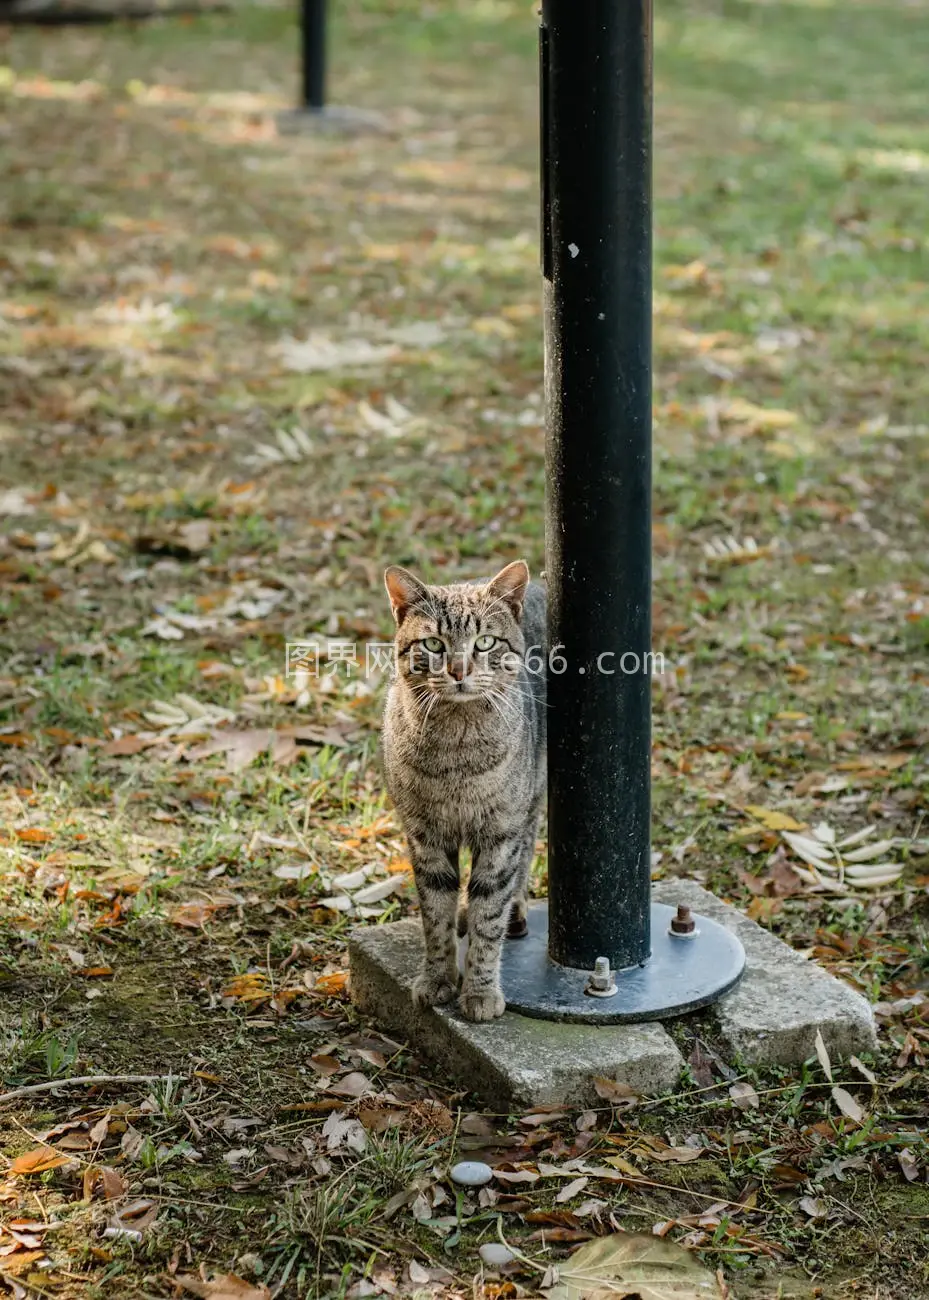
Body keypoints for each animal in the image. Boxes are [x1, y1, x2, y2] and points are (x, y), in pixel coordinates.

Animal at [384, 564, 548, 1019]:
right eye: (434, 644)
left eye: (485, 642)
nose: (459, 671)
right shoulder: (425, 837)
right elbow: (435, 915)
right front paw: (439, 978)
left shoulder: (501, 833)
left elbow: (488, 915)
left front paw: (479, 990)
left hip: (530, 798)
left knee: (525, 855)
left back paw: (516, 911)